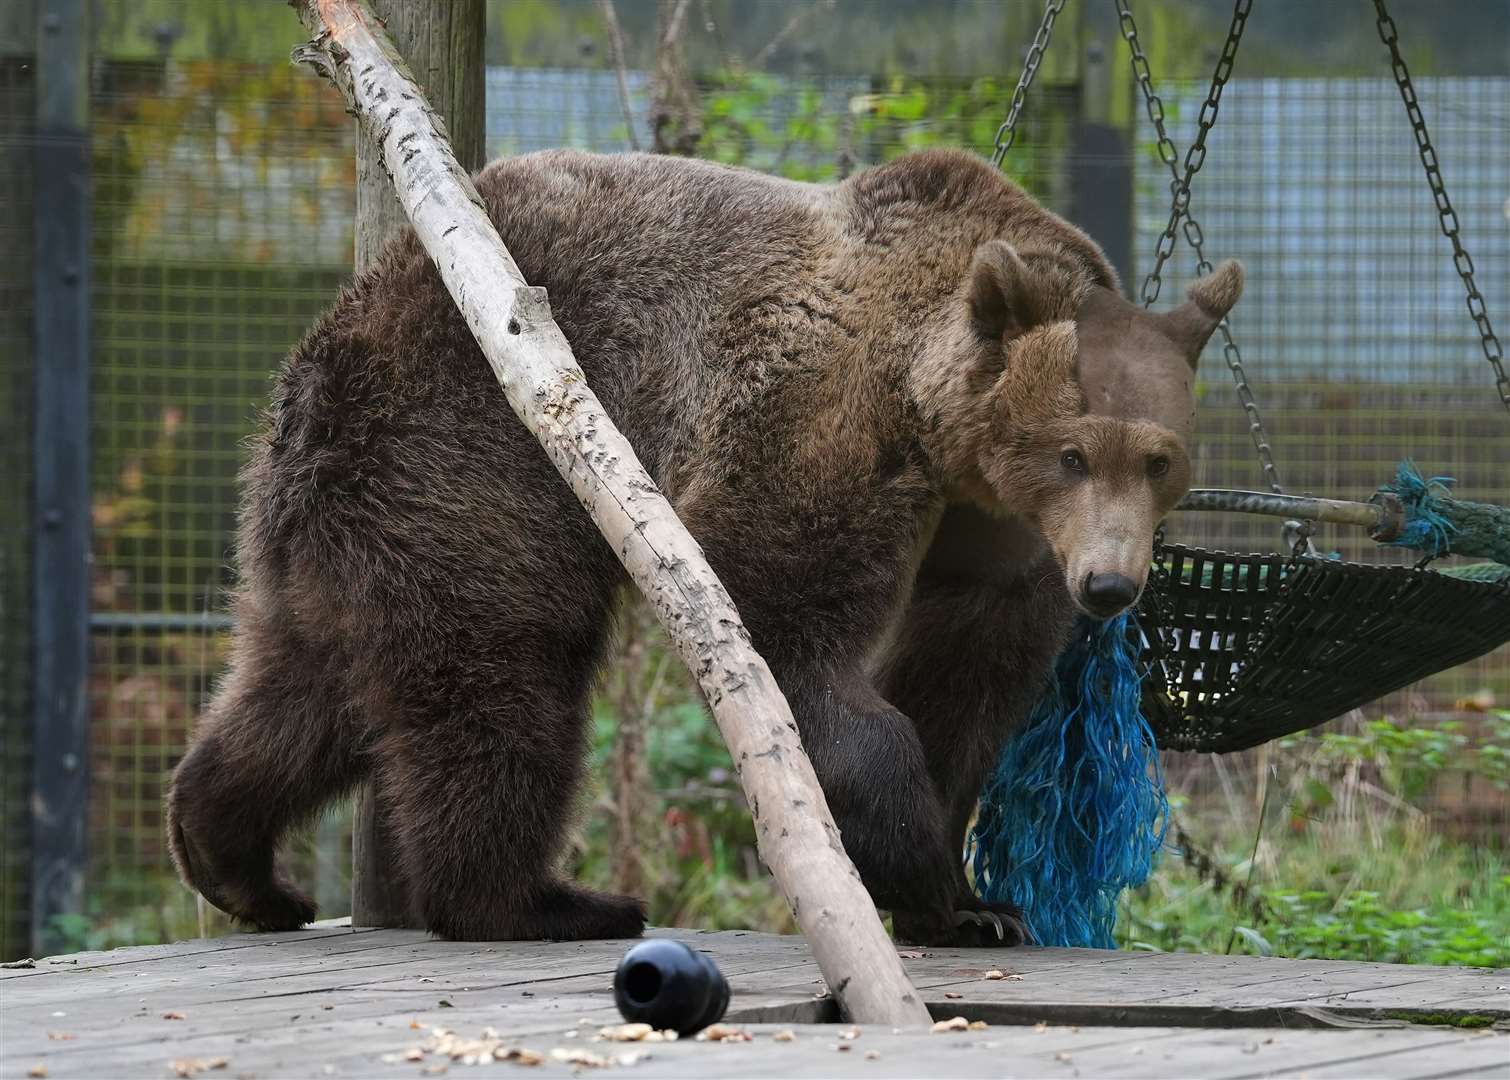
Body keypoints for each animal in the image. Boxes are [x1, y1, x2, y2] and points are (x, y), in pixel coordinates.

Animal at [171, 145, 1244, 948]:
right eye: (1075, 452)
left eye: (1160, 460)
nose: (1109, 586)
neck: (942, 429)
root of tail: (322, 350)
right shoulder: (824, 416)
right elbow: (778, 624)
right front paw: (925, 876)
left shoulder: (997, 535)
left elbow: (967, 679)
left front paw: (976, 898)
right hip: (465, 456)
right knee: (504, 677)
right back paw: (542, 900)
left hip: (346, 514)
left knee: (308, 686)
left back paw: (232, 858)